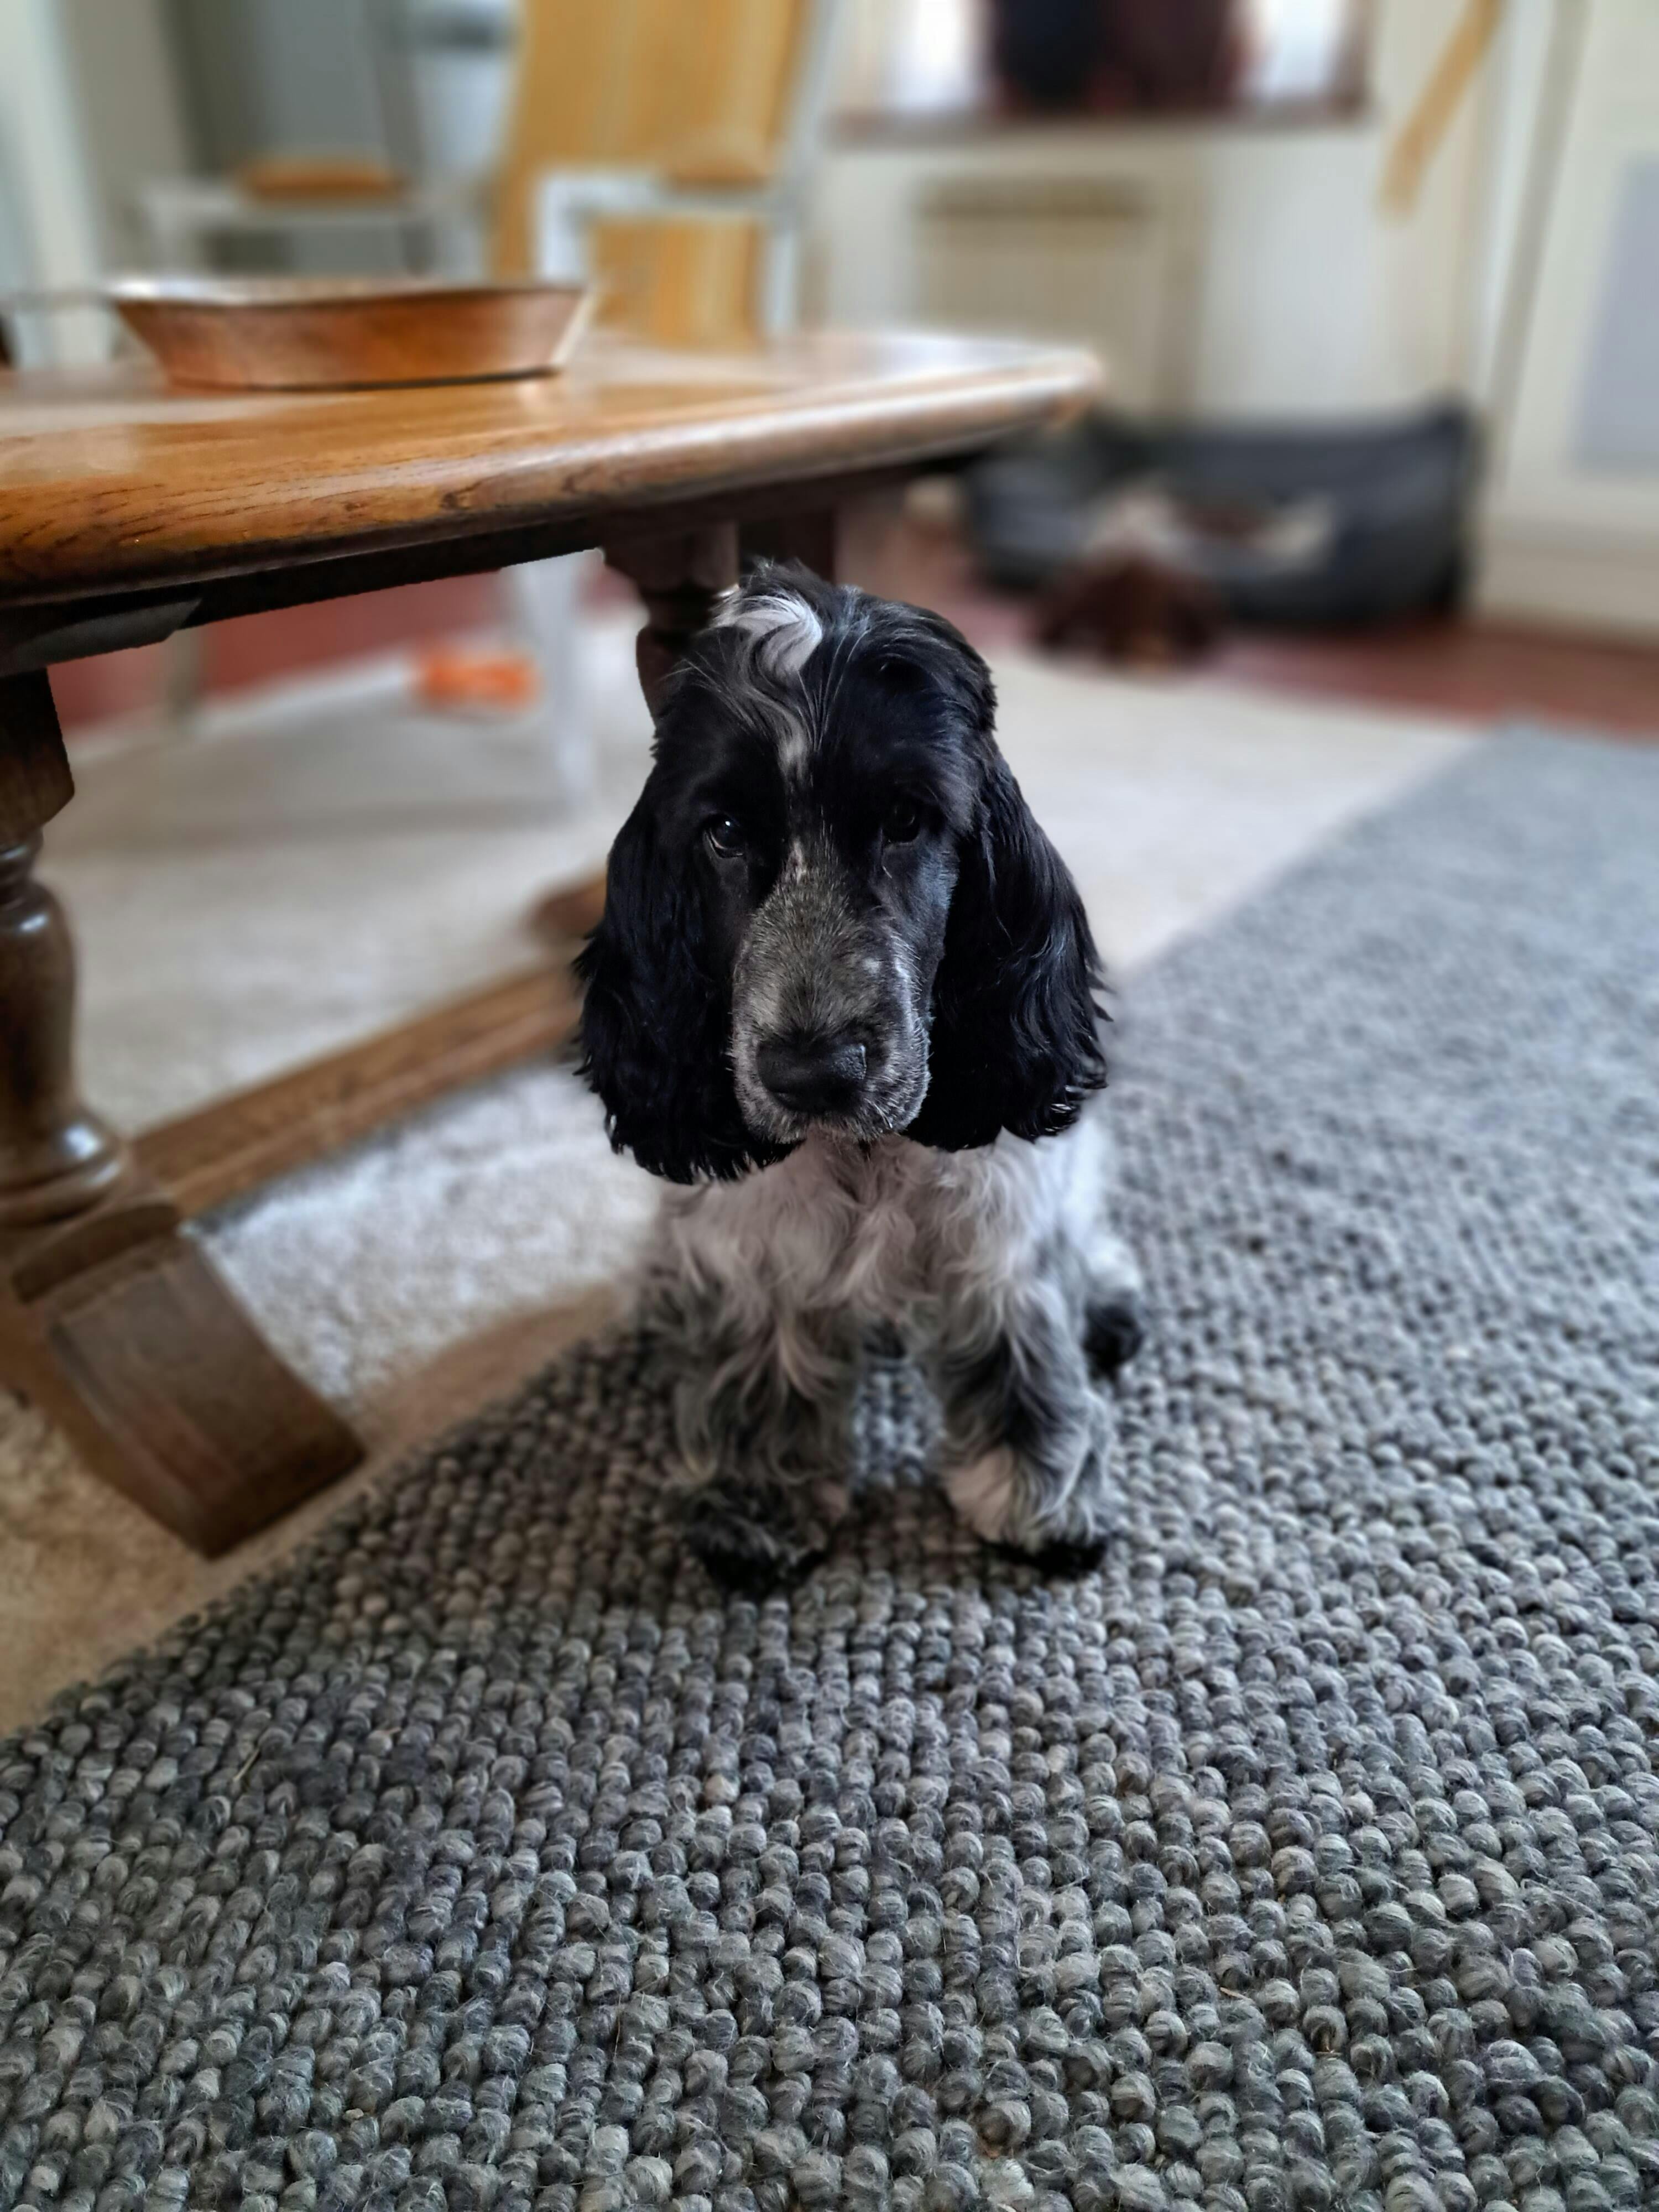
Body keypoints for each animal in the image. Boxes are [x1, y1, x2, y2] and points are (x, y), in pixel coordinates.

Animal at [577, 565, 1143, 1586]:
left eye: (909, 820)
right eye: (724, 831)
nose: (812, 1072)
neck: (865, 1152)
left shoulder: (1000, 1214)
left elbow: (1023, 1344)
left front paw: (1042, 1494)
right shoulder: (748, 1238)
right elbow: (755, 1356)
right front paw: (756, 1505)